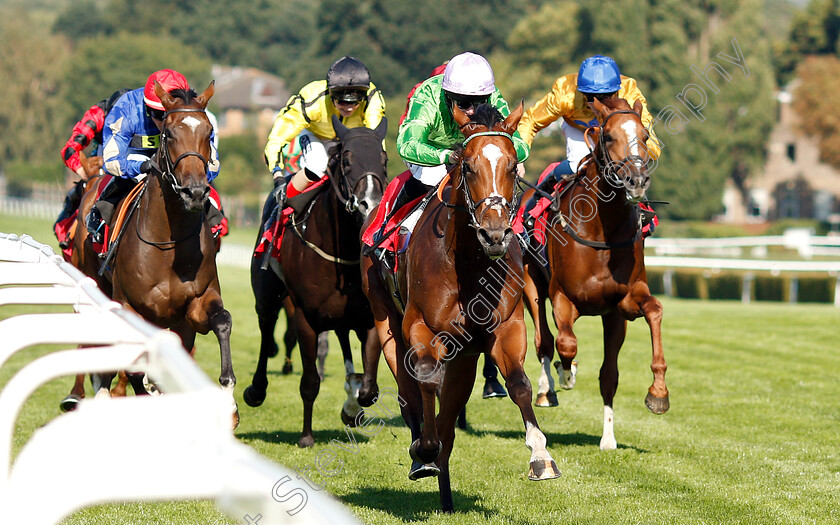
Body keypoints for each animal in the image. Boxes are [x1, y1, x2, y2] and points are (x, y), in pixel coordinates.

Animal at [69, 83, 236, 426]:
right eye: (168, 134)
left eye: (210, 132)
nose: (195, 192)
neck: (168, 246)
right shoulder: (129, 305)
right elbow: (135, 365)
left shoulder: (196, 305)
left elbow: (222, 321)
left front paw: (228, 400)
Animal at [243, 115, 388, 446]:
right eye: (346, 160)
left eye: (384, 159)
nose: (370, 204)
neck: (341, 253)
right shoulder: (305, 317)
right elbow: (310, 381)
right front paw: (306, 437)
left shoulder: (368, 317)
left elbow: (369, 389)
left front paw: (352, 408)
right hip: (267, 295)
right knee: (266, 330)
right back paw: (256, 390)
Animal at [360, 103, 556, 512]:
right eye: (467, 166)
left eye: (513, 165)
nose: (494, 233)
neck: (467, 264)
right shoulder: (421, 327)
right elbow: (425, 379)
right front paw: (424, 451)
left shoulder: (506, 327)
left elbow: (520, 384)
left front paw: (540, 456)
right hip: (386, 319)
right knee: (408, 390)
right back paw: (424, 452)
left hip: (465, 355)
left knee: (449, 417)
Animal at [524, 96, 668, 448]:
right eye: (610, 137)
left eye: (645, 135)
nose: (637, 181)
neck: (602, 232)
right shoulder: (563, 297)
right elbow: (566, 344)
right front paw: (566, 375)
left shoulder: (622, 305)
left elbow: (651, 315)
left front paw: (657, 394)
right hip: (530, 285)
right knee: (544, 340)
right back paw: (548, 389)